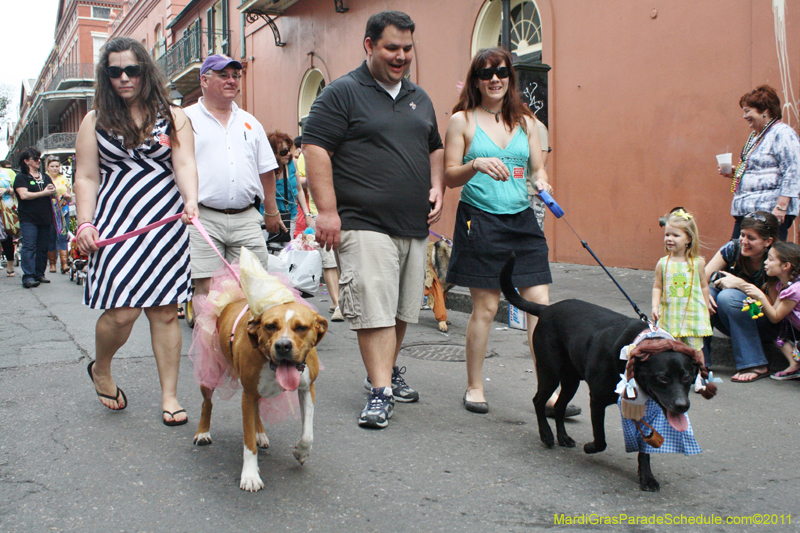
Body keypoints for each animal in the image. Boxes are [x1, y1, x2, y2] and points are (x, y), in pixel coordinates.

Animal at [192, 300, 326, 490]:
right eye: (270, 326)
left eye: (301, 327)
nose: (283, 345)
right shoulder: (248, 395)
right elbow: (248, 443)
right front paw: (250, 475)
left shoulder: (307, 388)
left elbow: (307, 433)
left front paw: (301, 452)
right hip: (210, 366)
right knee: (207, 402)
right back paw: (203, 433)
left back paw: (260, 434)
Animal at [504, 254, 704, 490]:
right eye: (662, 378)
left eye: (687, 377)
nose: (682, 406)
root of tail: (545, 309)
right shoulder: (597, 400)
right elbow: (601, 439)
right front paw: (590, 447)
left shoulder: (641, 408)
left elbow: (644, 450)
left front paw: (647, 477)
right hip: (550, 371)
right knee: (538, 401)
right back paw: (546, 435)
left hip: (570, 380)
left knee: (560, 406)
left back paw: (563, 437)